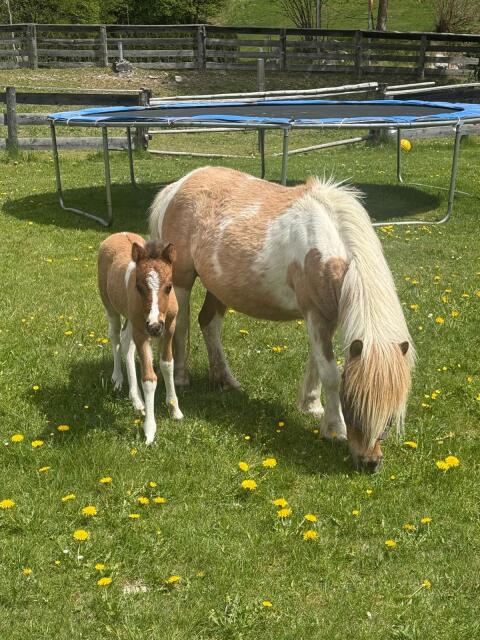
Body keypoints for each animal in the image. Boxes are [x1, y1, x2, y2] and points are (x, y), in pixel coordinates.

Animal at [97, 232, 183, 444]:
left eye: (169, 287)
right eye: (138, 286)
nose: (154, 326)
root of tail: (116, 234)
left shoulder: (169, 328)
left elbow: (167, 364)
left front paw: (175, 409)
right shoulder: (142, 332)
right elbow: (149, 378)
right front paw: (149, 430)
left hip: (133, 321)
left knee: (126, 344)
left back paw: (137, 399)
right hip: (111, 308)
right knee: (116, 338)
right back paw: (118, 379)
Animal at [148, 167, 415, 471]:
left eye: (391, 414)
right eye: (353, 404)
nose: (370, 462)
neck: (331, 246)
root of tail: (179, 185)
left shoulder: (327, 317)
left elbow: (318, 364)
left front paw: (312, 405)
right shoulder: (315, 315)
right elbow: (331, 374)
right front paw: (335, 429)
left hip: (220, 286)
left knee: (209, 324)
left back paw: (225, 380)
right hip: (182, 280)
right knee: (181, 327)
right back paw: (182, 378)